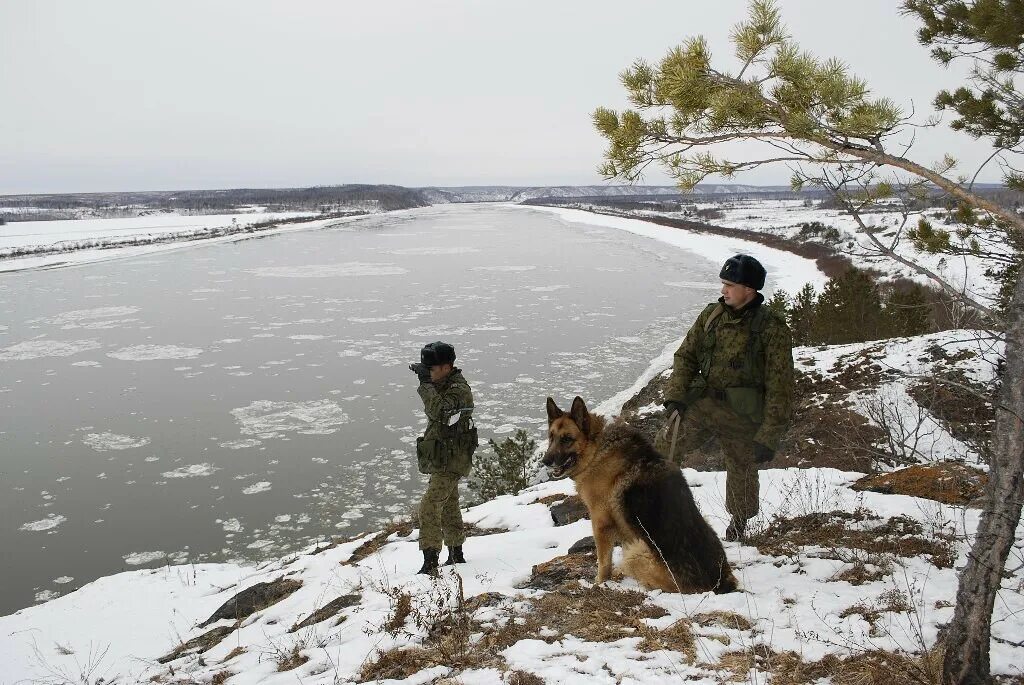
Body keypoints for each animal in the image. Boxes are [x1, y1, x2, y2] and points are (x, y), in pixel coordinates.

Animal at [544, 395, 737, 593]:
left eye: (567, 439)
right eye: (551, 437)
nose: (545, 461)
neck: (596, 449)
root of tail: (718, 583)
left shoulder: (601, 524)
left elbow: (604, 562)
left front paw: (599, 582)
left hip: (636, 551)